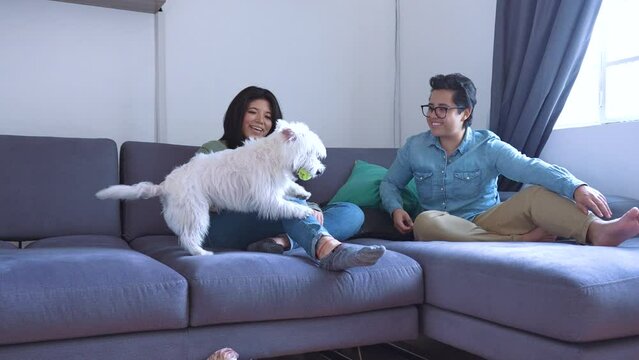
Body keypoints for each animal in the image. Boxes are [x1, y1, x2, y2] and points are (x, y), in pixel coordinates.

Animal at [97, 121, 328, 256]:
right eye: (309, 153)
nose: (320, 171)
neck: (274, 156)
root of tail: (165, 185)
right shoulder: (267, 198)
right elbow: (288, 206)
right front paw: (304, 210)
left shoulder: (278, 184)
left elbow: (290, 186)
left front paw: (302, 192)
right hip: (195, 212)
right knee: (188, 237)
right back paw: (201, 253)